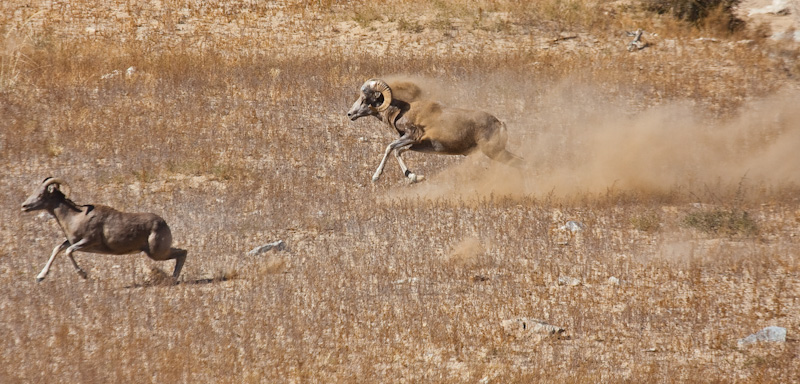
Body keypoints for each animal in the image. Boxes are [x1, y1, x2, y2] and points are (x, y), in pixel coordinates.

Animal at [346, 78, 524, 183]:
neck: (400, 112)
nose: (350, 114)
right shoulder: (416, 144)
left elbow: (390, 148)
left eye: (365, 99)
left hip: (494, 152)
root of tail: (500, 123)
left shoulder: (412, 137)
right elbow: (398, 152)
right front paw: (414, 177)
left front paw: (376, 177)